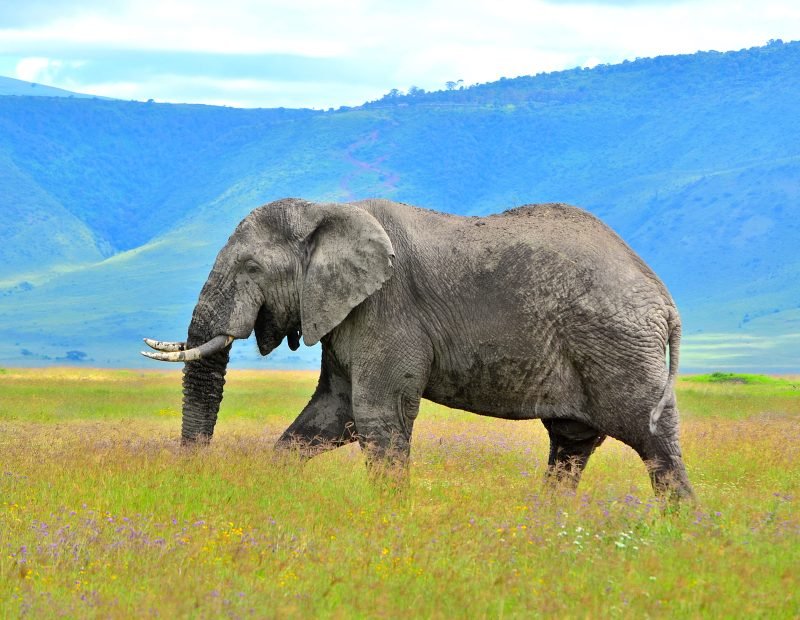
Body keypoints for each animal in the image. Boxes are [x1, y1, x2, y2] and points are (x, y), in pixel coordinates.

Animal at [143, 198, 694, 500]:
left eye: (251, 269)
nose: (196, 477)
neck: (327, 208)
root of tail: (664, 297)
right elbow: (333, 413)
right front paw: (274, 486)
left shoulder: (386, 308)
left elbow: (375, 414)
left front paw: (389, 523)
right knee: (572, 444)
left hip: (617, 344)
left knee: (651, 442)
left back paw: (682, 535)